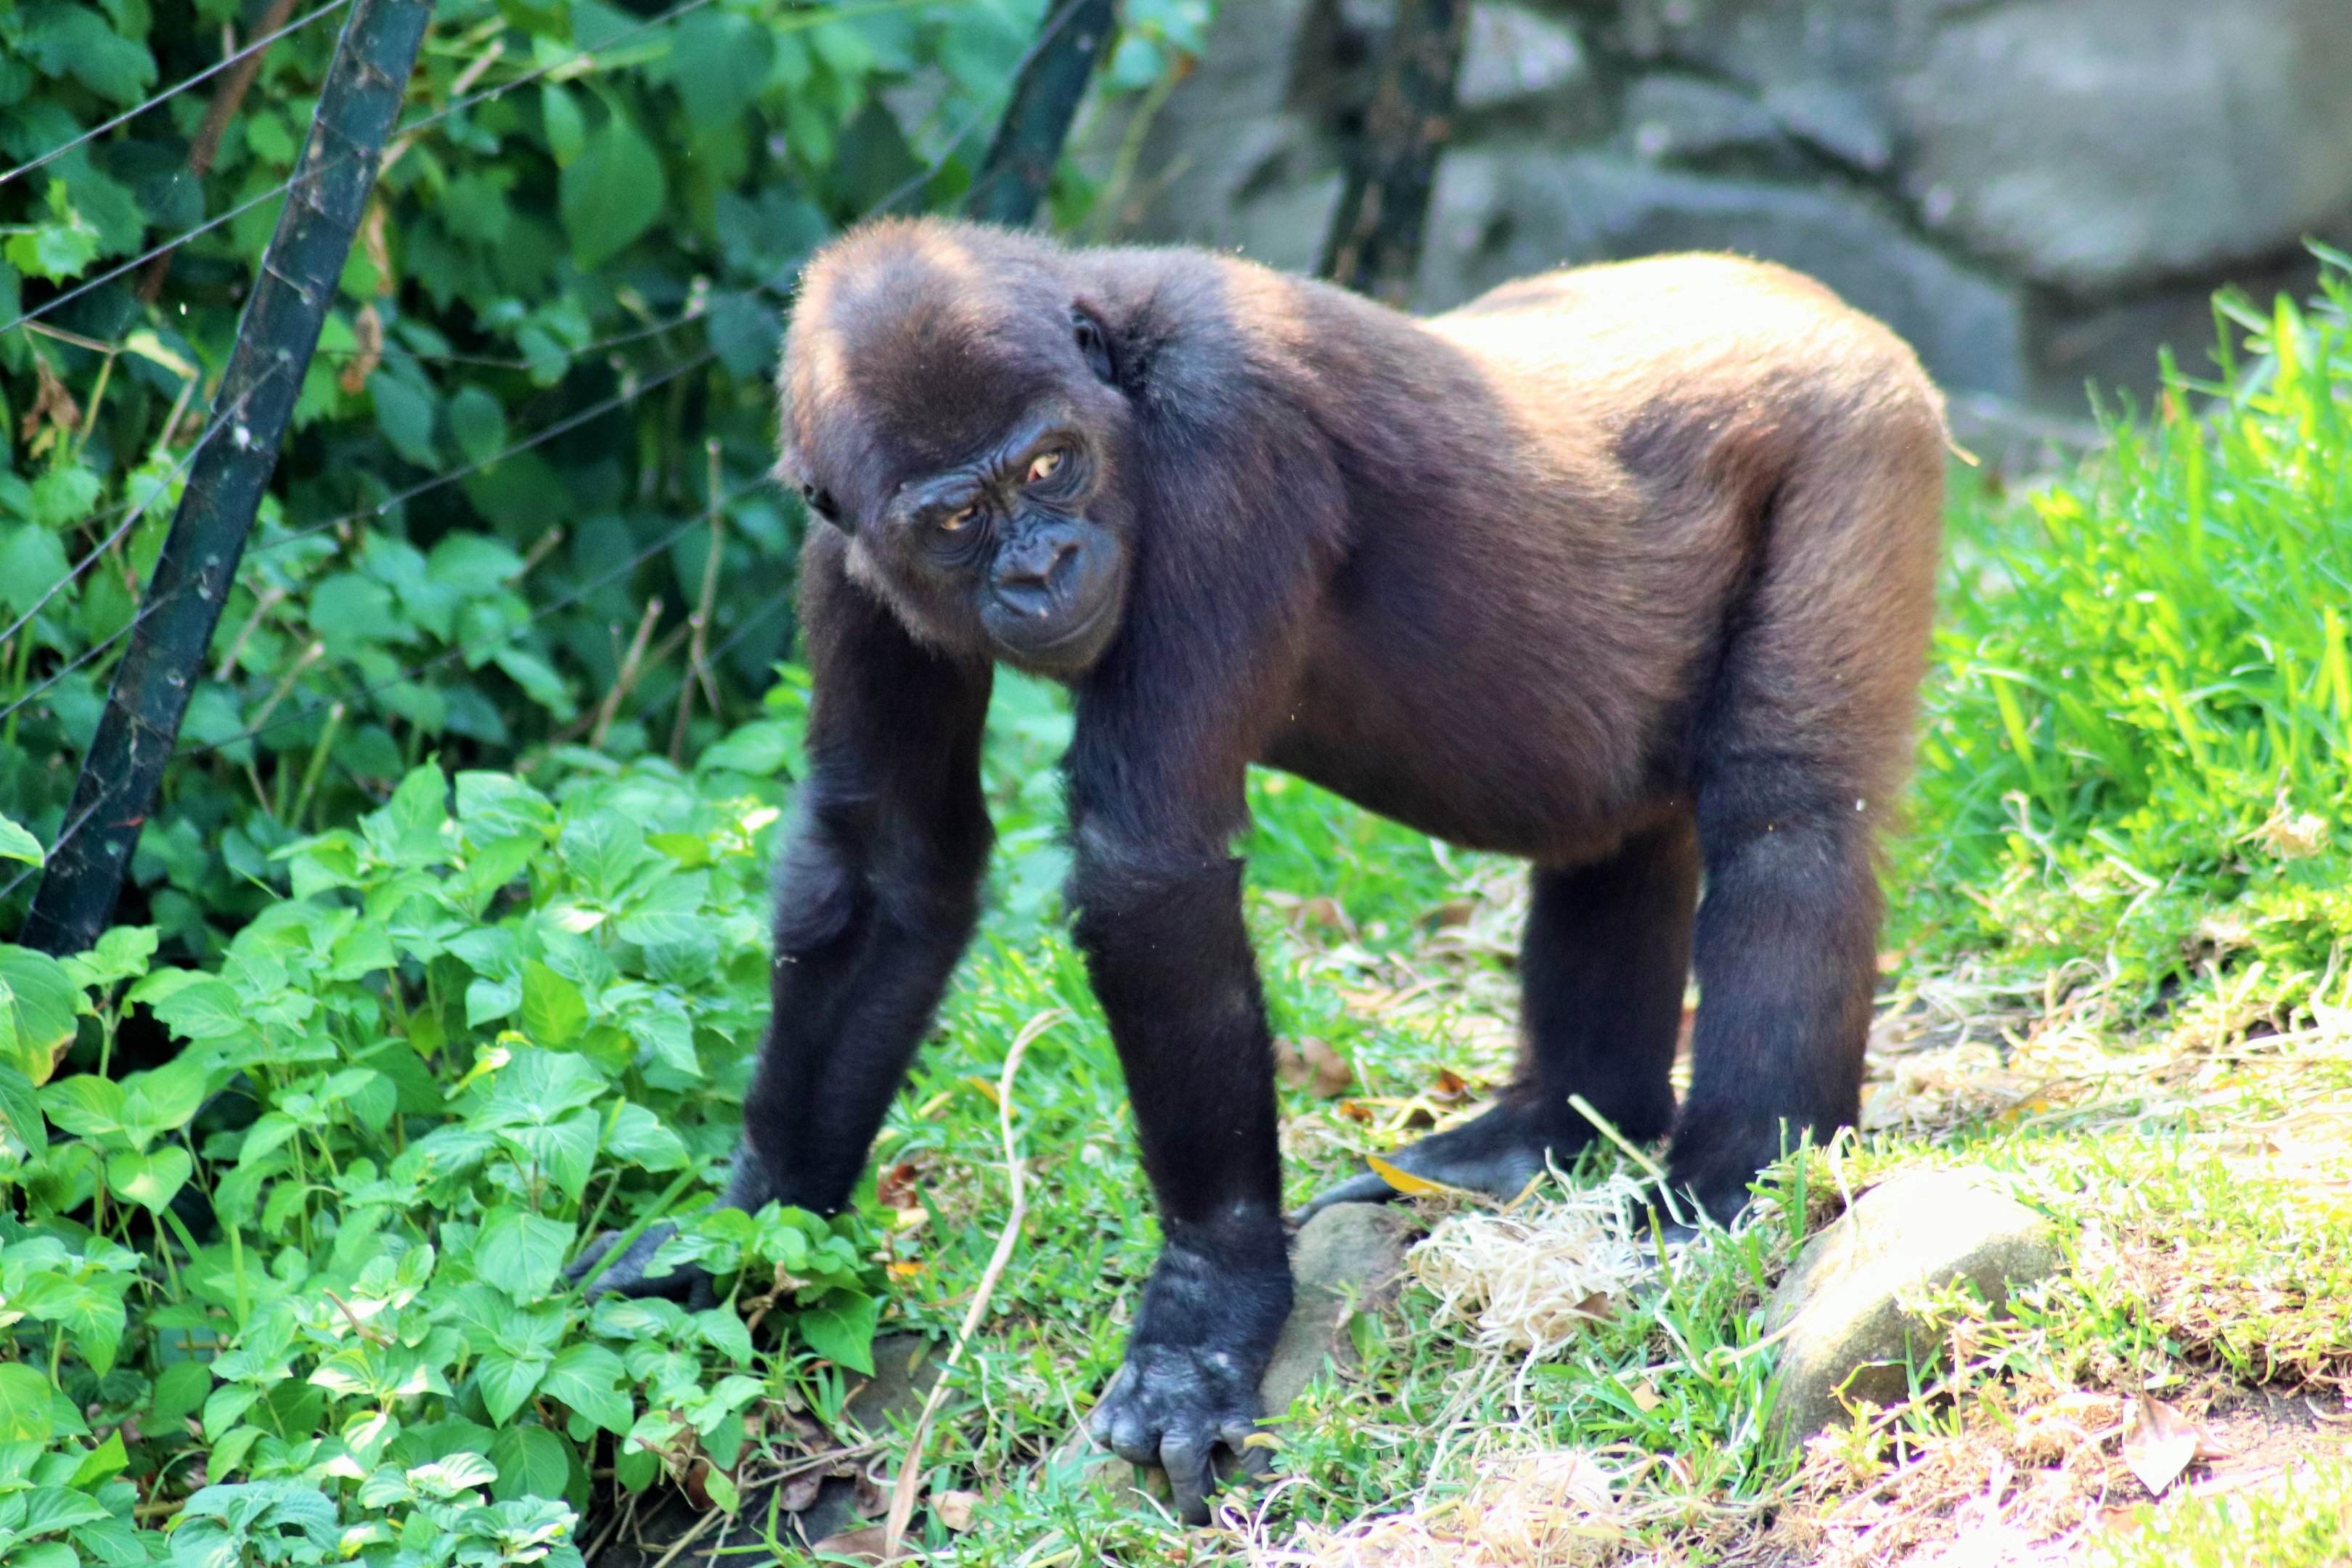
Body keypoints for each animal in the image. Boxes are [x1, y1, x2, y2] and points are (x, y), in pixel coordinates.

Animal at [570, 216, 1945, 1523]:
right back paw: (1553, 1125)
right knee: (1612, 835)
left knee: (1786, 812)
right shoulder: (843, 545)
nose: (1042, 566)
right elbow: (890, 866)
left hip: (1855, 427)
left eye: (1050, 466)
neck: (1116, 370)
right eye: (958, 520)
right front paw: (748, 1228)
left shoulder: (1224, 444)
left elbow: (1149, 873)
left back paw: (1738, 1174)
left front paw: (1204, 1311)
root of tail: (1799, 289)